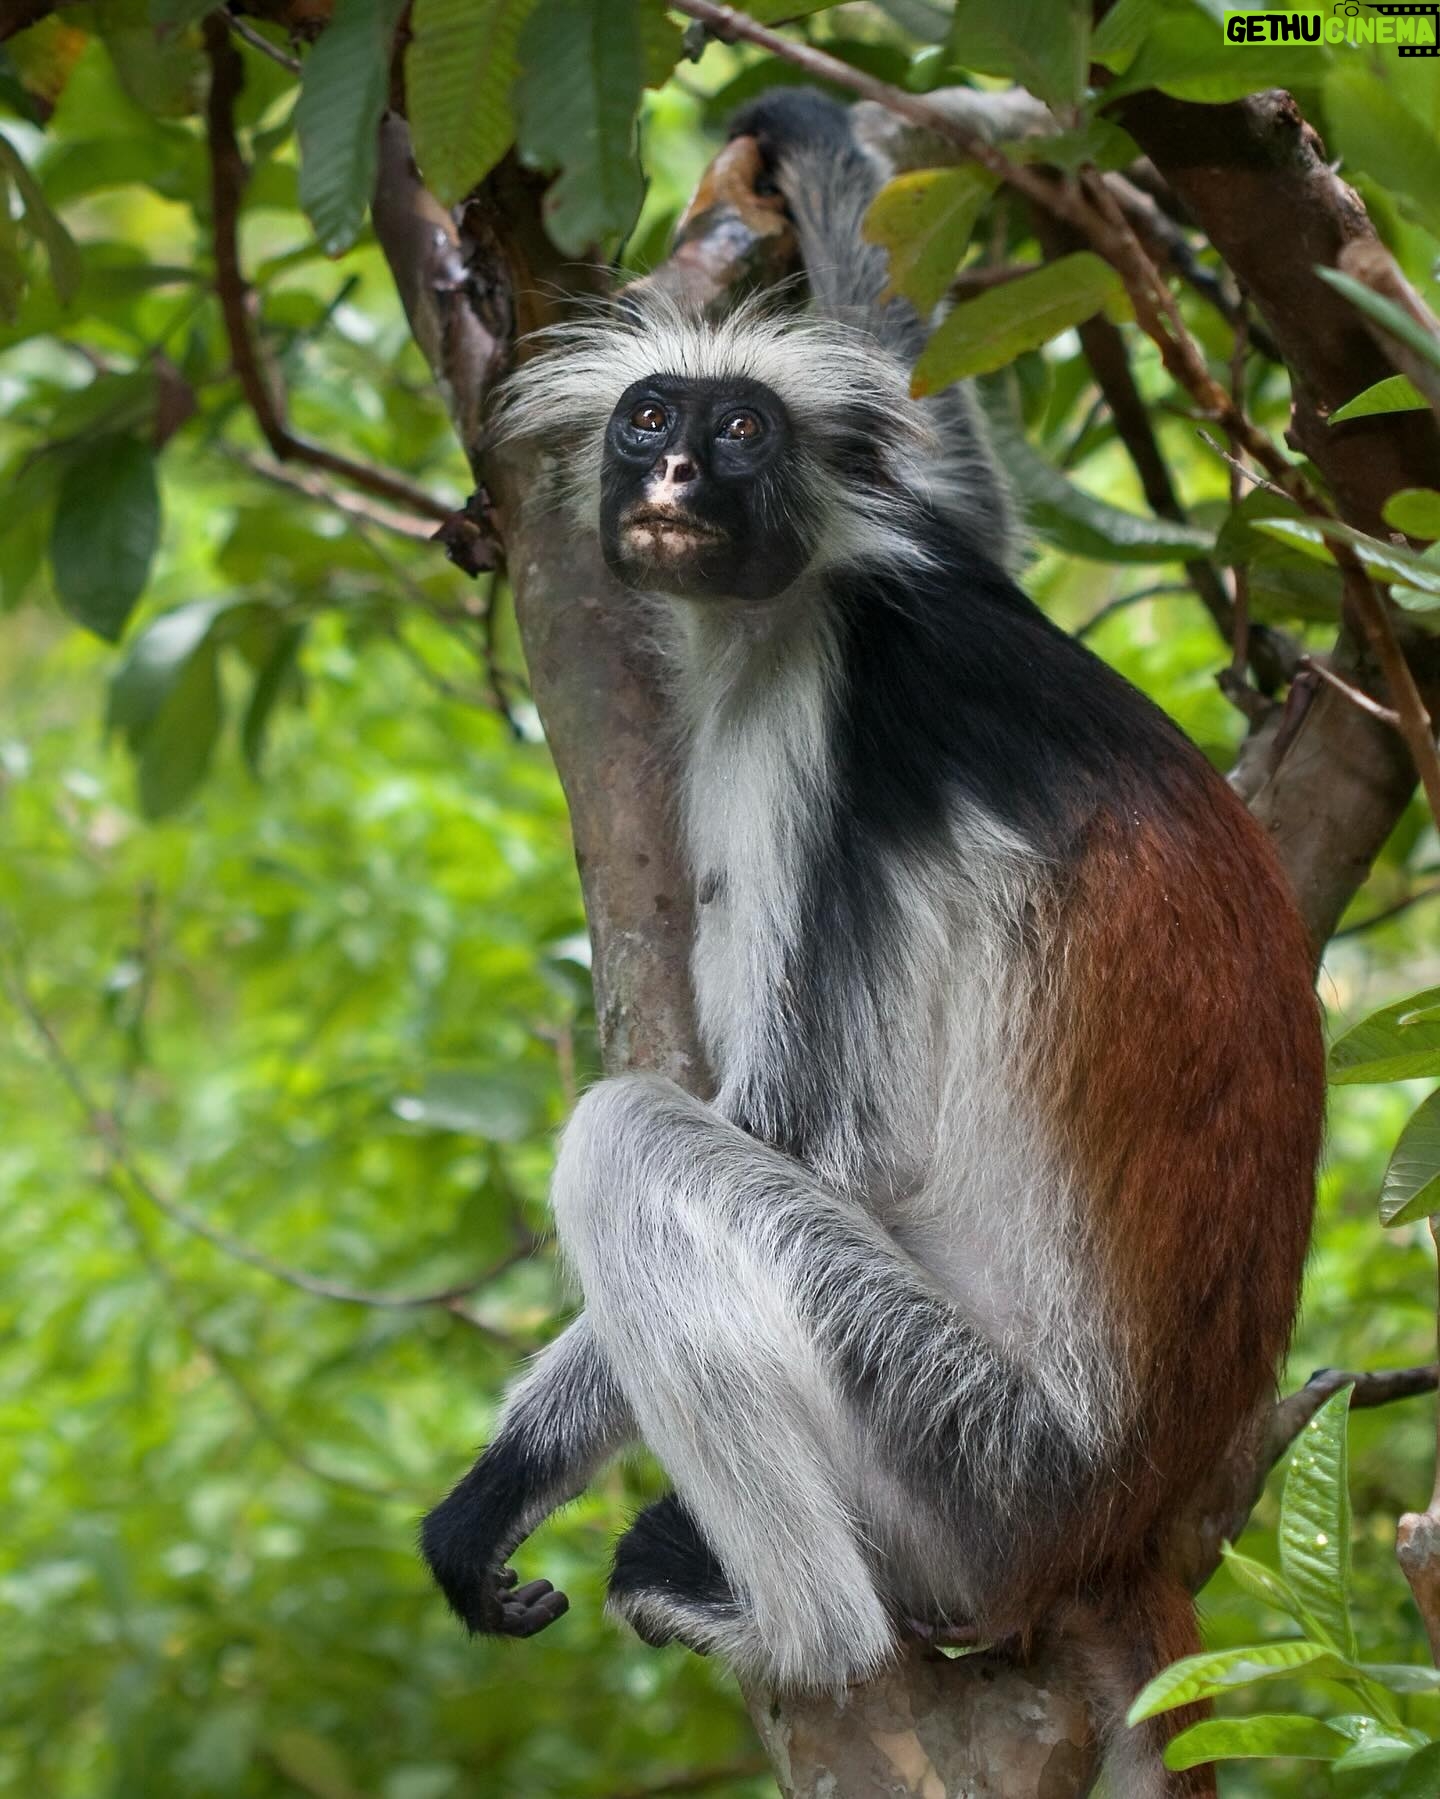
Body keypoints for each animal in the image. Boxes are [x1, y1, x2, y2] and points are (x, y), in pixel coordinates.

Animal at [420, 91, 1324, 1796]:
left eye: (742, 434)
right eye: (651, 416)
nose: (677, 469)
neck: (782, 615)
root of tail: (1121, 1519)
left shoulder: (846, 713)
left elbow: (807, 1136)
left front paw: (500, 1483)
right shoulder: (932, 549)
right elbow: (973, 501)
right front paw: (817, 145)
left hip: (972, 1456)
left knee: (636, 1141)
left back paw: (801, 1626)